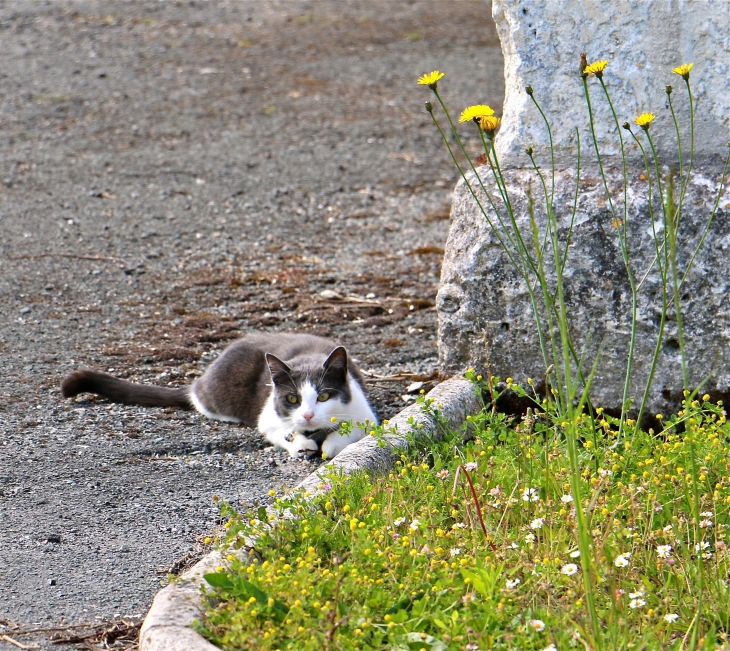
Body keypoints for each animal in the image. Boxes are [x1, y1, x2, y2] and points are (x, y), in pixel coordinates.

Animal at [61, 334, 376, 460]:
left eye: (323, 396)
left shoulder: (367, 415)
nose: (308, 415)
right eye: (292, 400)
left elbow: (350, 431)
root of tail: (201, 379)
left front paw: (331, 444)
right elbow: (280, 432)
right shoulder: (268, 418)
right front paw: (300, 443)